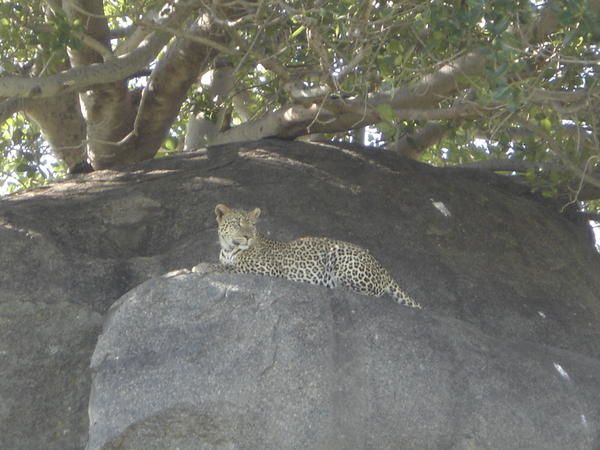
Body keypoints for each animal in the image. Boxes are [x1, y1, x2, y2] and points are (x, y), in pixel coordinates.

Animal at [206, 204, 422, 310]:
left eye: (252, 225)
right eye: (237, 223)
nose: (248, 236)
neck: (228, 249)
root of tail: (382, 267)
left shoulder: (269, 268)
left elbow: (233, 267)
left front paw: (203, 266)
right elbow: (227, 265)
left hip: (341, 256)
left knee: (374, 293)